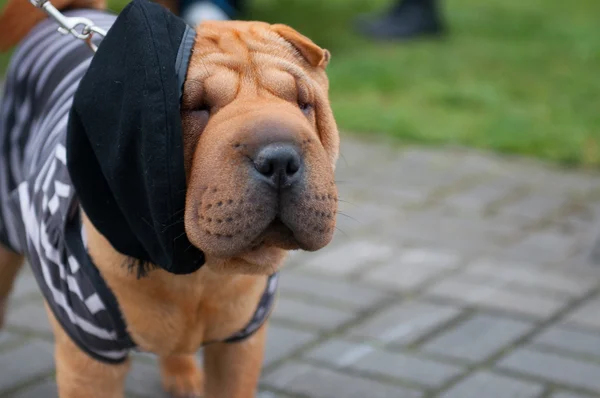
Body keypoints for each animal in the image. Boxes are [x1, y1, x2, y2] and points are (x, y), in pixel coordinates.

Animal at [0, 0, 340, 398]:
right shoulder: (89, 359)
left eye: (303, 103)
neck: (198, 275)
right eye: (196, 106)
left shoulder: (241, 345)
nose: (280, 159)